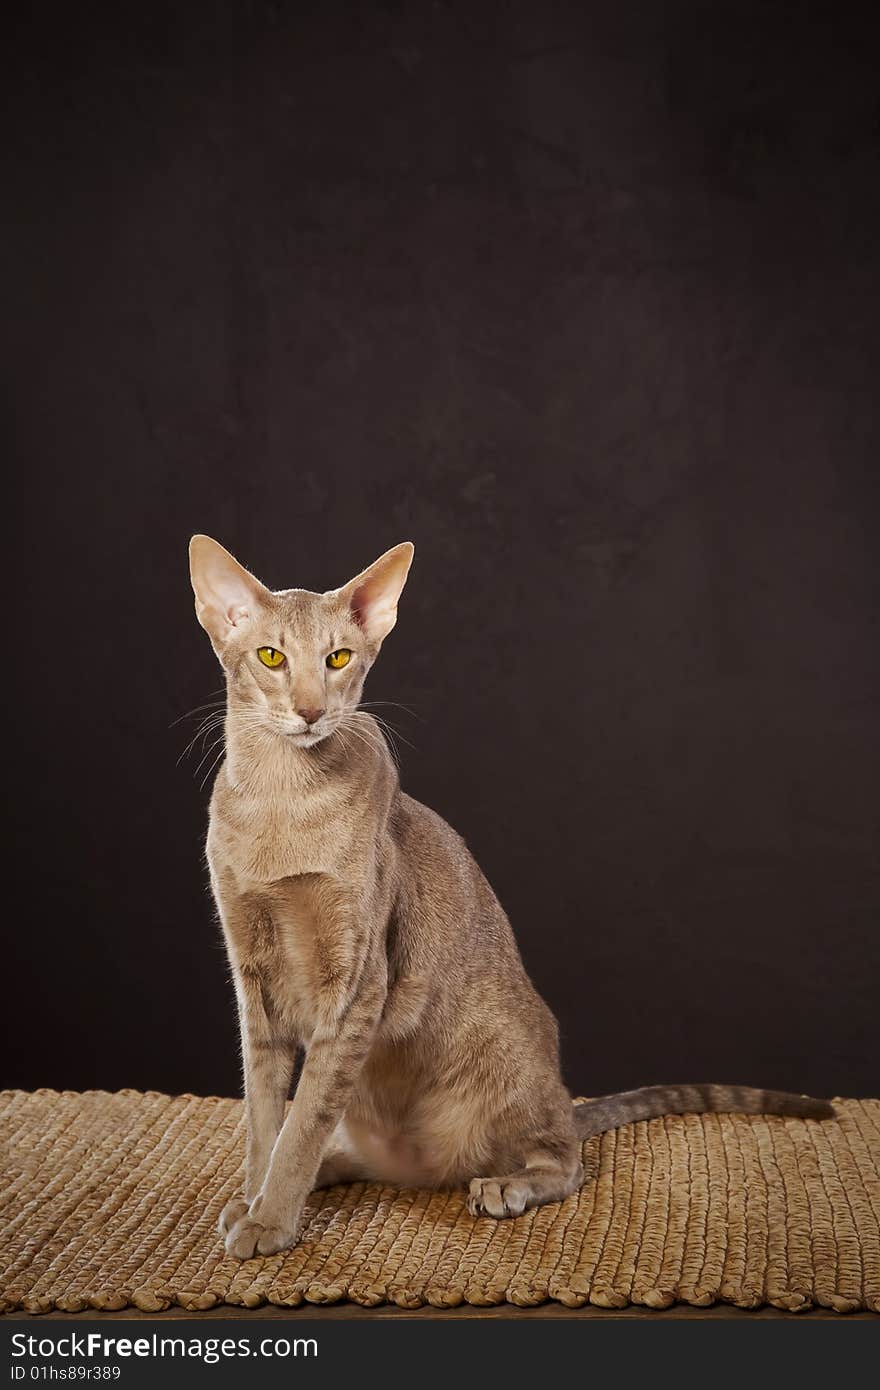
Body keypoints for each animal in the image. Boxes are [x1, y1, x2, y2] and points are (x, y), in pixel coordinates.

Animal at [184, 533, 828, 1262]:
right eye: (272, 657)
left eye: (338, 659)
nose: (312, 709)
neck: (281, 802)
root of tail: (417, 1170)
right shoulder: (254, 979)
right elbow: (267, 1118)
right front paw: (255, 1201)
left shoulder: (356, 986)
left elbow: (303, 1119)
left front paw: (269, 1220)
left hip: (502, 1059)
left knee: (563, 1156)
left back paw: (503, 1186)